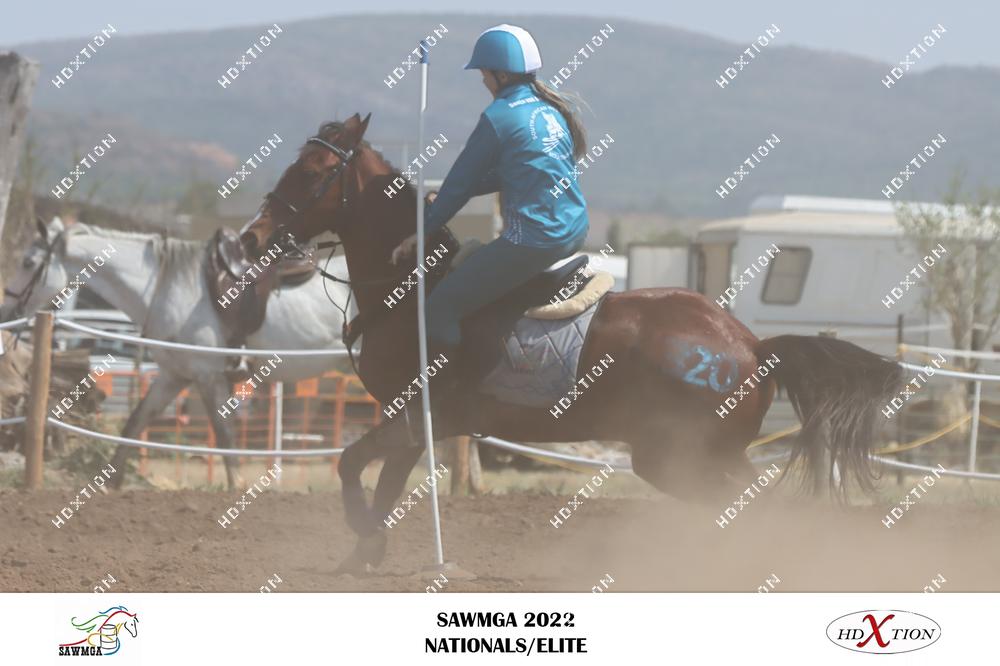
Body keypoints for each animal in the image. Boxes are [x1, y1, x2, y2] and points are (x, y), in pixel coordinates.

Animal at [2, 216, 351, 490]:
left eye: (29, 263)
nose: (9, 309)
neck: (172, 287)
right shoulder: (173, 376)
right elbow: (135, 423)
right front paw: (110, 483)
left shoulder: (208, 376)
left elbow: (224, 435)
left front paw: (236, 486)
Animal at [241, 114, 904, 574]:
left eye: (311, 172)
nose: (251, 237)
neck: (412, 286)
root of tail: (753, 345)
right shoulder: (414, 423)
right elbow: (383, 483)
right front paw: (366, 552)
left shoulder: (415, 416)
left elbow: (354, 466)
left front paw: (362, 536)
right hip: (696, 456)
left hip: (677, 456)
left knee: (751, 505)